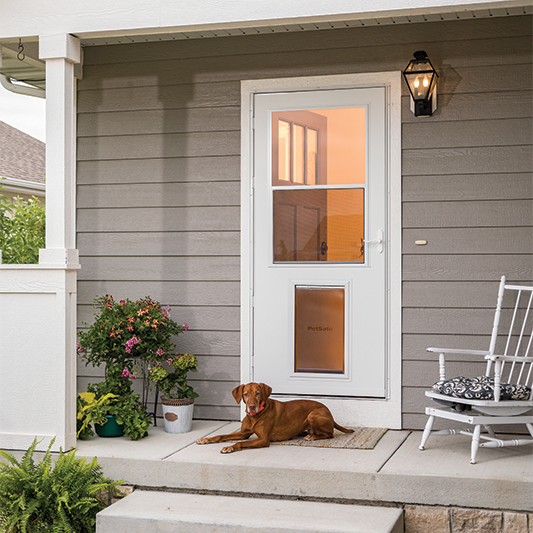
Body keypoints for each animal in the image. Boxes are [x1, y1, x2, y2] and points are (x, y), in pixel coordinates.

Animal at [195, 382, 354, 454]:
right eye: (245, 394)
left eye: (258, 393)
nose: (252, 407)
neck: (254, 417)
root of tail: (330, 413)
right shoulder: (243, 433)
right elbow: (221, 435)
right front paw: (206, 439)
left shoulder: (263, 439)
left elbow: (239, 443)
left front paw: (229, 447)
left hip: (312, 414)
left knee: (330, 434)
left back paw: (312, 437)